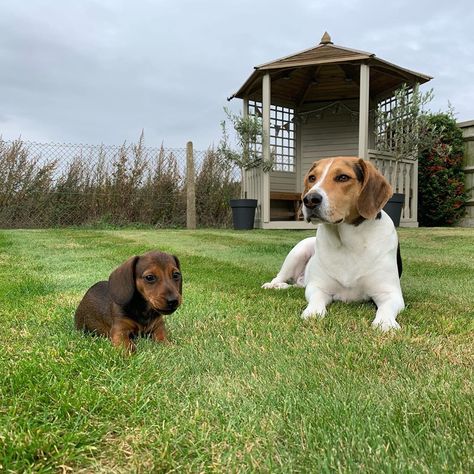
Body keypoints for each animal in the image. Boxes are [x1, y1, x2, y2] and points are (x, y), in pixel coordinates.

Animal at [262, 157, 404, 332]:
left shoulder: (390, 293)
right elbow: (316, 302)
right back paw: (274, 285)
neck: (348, 243)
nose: (309, 200)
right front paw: (312, 313)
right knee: (280, 277)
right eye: (312, 178)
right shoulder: (318, 287)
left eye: (343, 177)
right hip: (299, 251)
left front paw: (385, 322)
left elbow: (386, 308)